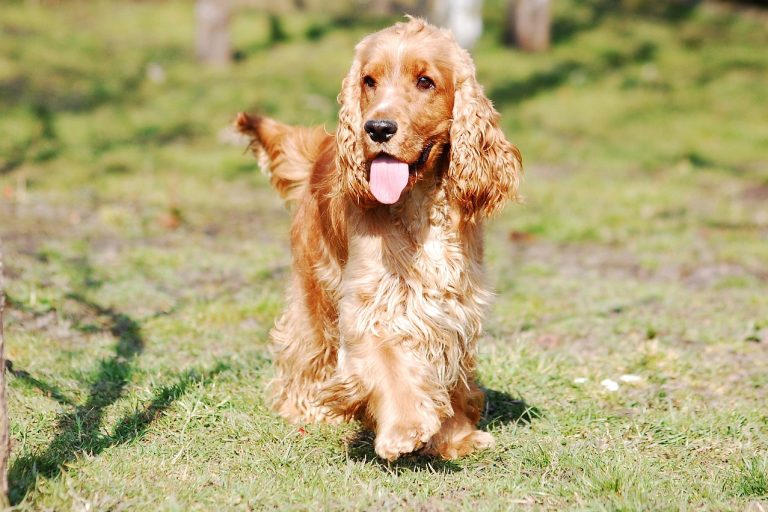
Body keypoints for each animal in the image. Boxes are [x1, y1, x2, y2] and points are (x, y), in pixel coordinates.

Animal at [236, 19, 520, 460]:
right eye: (368, 80)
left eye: (425, 81)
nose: (378, 128)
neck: (420, 204)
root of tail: (324, 145)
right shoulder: (372, 302)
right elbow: (389, 361)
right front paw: (404, 428)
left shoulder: (453, 305)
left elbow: (447, 368)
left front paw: (456, 436)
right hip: (315, 282)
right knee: (304, 343)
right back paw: (306, 407)